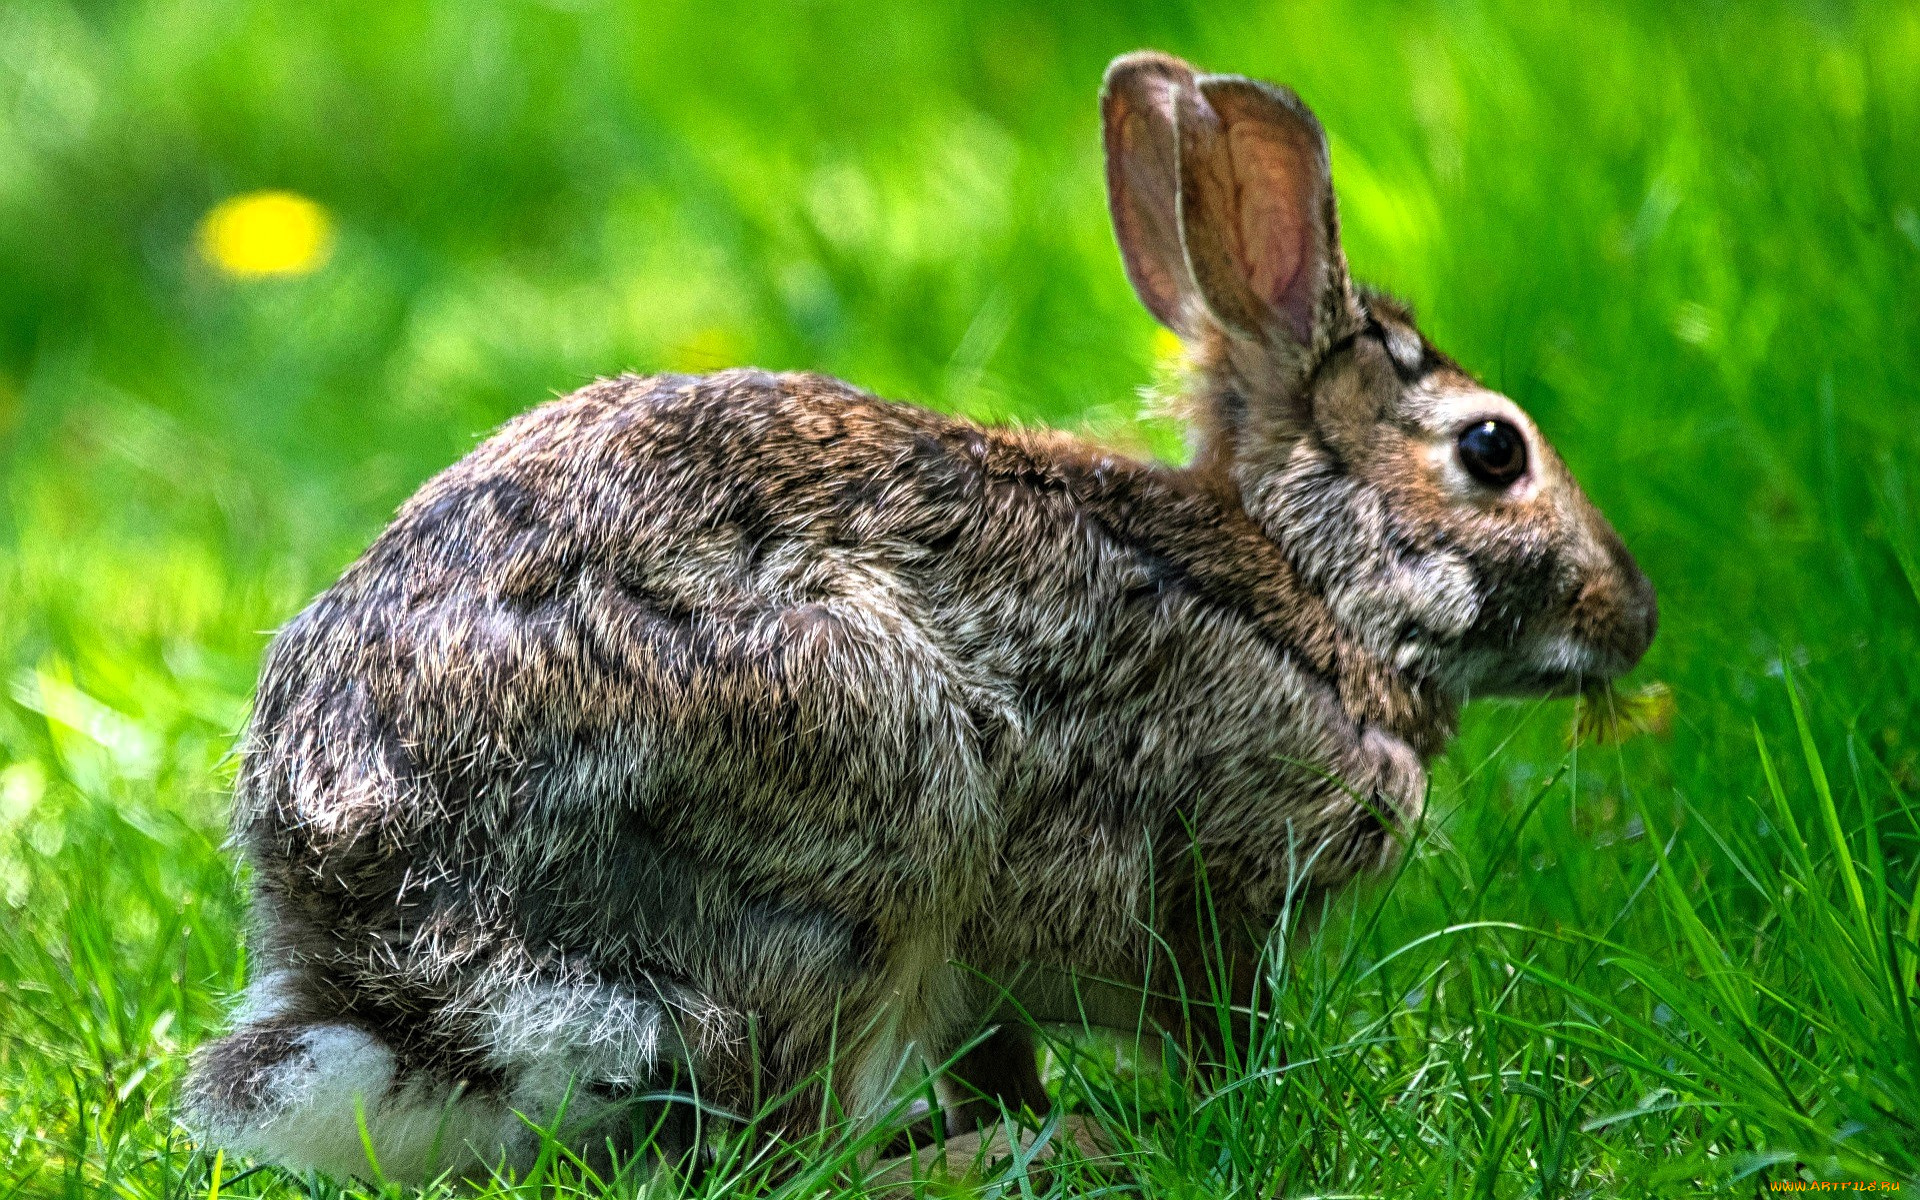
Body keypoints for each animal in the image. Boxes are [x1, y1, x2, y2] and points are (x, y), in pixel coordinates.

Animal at [183, 49, 1656, 1185]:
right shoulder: (1218, 875)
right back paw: (1020, 1158)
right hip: (874, 830)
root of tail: (382, 934)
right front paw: (1230, 1112)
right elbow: (1222, 1031)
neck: (1305, 584)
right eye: (1493, 451)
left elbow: (996, 1046)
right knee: (787, 1154)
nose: (1634, 617)